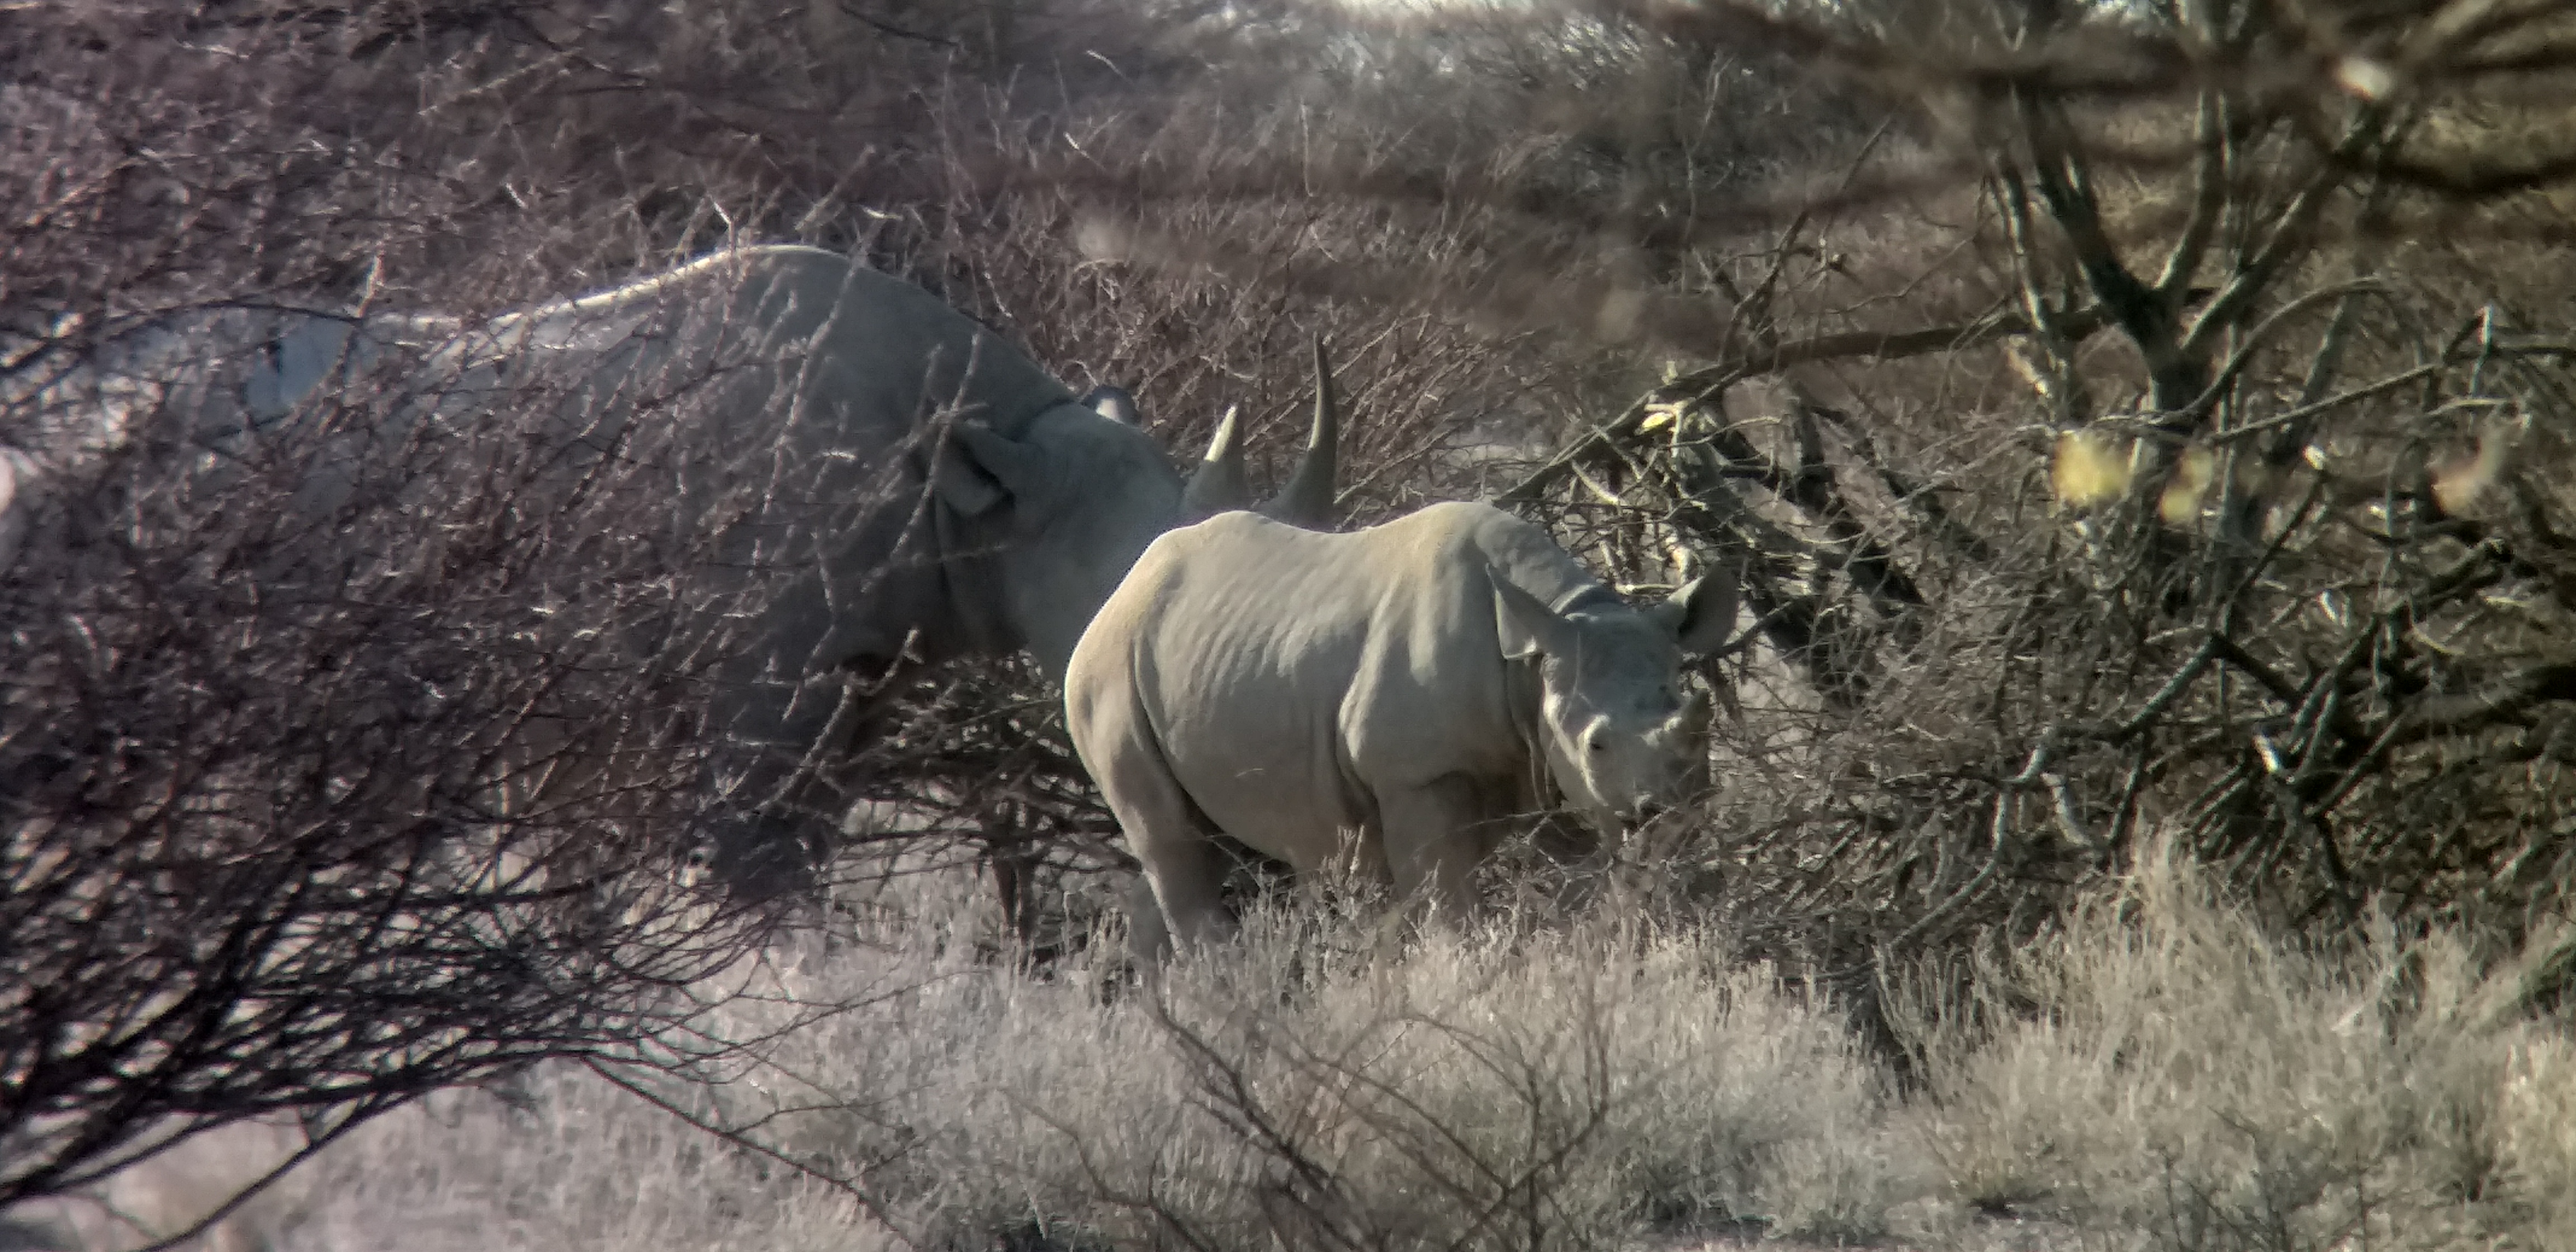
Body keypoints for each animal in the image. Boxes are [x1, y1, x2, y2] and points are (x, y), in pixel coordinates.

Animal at [1066, 500, 1731, 958]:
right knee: (1170, 838)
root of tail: (1118, 591)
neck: (1542, 648)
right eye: (1597, 743)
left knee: (1194, 842)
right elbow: (1446, 904)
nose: (1670, 814)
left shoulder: (1540, 765)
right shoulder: (1418, 774)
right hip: (1105, 671)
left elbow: (1584, 885)